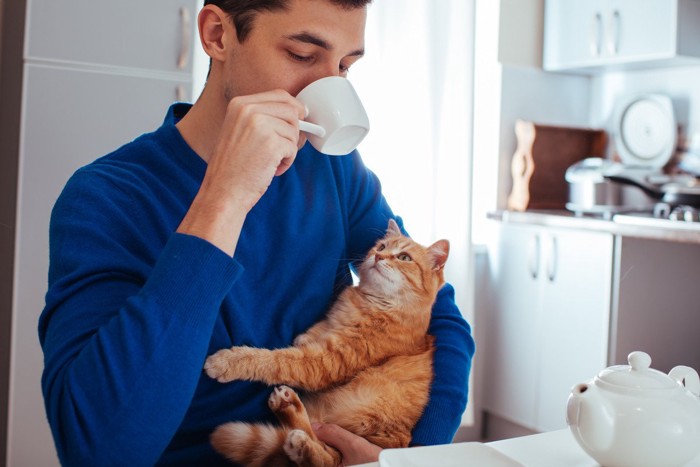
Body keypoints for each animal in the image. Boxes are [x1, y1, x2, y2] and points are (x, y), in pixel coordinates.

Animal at [205, 220, 452, 467]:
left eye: (404, 257)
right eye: (381, 246)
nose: (379, 256)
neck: (370, 303)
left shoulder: (328, 362)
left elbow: (275, 360)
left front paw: (227, 361)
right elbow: (318, 330)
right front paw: (305, 337)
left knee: (325, 456)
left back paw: (299, 435)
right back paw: (288, 407)